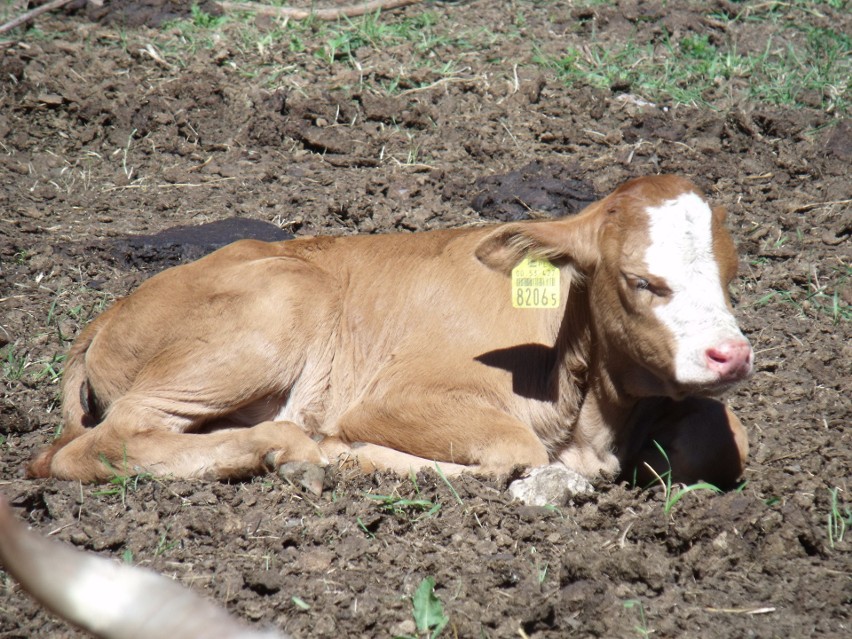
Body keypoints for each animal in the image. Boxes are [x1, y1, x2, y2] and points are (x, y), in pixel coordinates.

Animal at [30, 174, 752, 484]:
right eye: (641, 280)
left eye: (730, 274)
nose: (732, 355)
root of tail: (108, 313)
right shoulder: (396, 398)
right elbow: (512, 448)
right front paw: (349, 452)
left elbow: (721, 441)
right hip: (281, 306)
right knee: (99, 443)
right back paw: (280, 444)